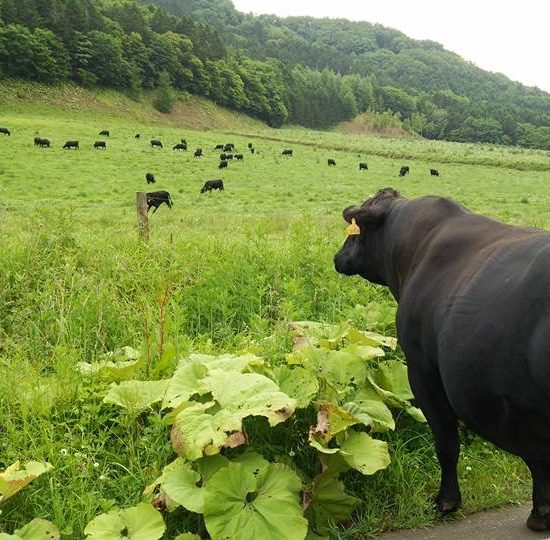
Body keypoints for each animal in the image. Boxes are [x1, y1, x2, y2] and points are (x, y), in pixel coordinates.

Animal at [334, 189, 550, 532]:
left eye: (356, 232)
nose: (337, 257)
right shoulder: (519, 408)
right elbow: (536, 456)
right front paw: (541, 513)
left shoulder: (424, 373)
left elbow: (446, 442)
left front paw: (446, 502)